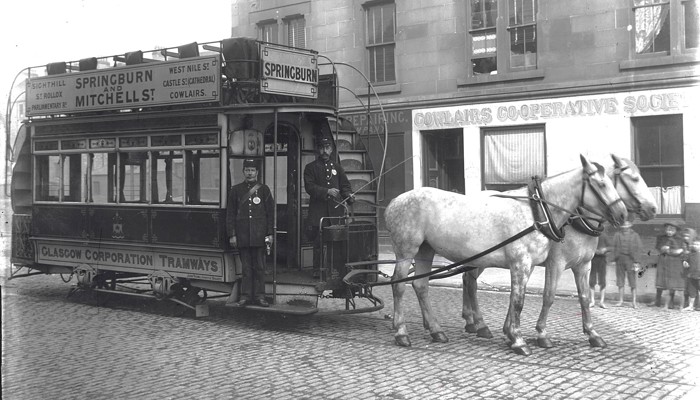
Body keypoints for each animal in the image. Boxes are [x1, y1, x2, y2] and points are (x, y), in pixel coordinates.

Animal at [382, 155, 628, 354]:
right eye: (601, 184)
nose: (622, 214)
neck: (537, 212)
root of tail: (394, 201)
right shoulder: (523, 262)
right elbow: (519, 301)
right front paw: (519, 341)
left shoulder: (531, 265)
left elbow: (518, 299)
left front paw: (511, 334)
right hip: (406, 251)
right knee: (399, 285)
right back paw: (402, 332)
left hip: (426, 250)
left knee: (422, 285)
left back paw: (436, 330)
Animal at [464, 155, 656, 352]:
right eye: (634, 178)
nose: (653, 208)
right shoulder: (555, 263)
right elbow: (548, 296)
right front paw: (541, 334)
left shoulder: (583, 265)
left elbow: (584, 297)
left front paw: (592, 333)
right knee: (470, 283)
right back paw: (479, 323)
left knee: (467, 280)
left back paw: (471, 321)